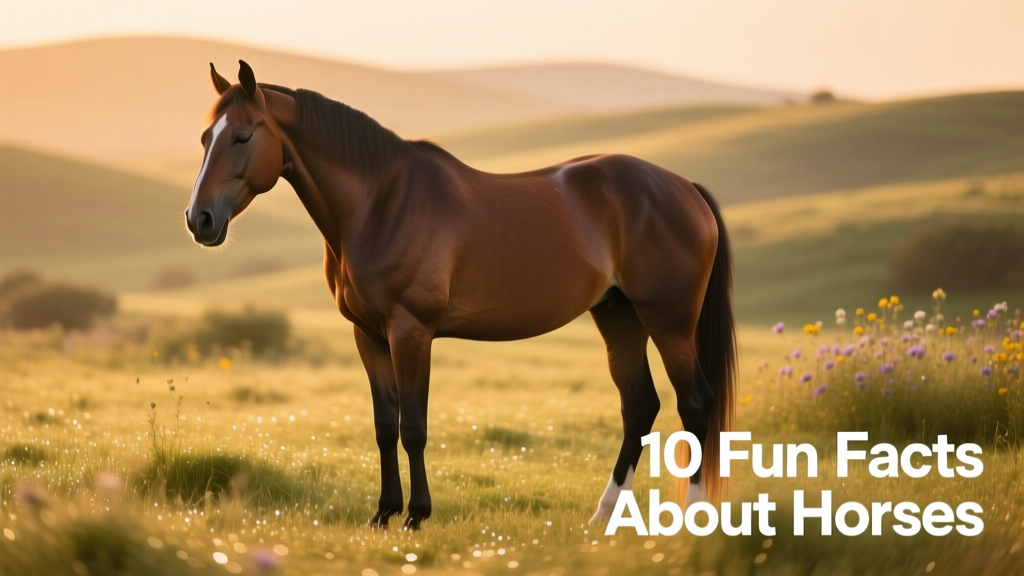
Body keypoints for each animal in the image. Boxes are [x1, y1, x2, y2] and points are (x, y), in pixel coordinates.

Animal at [186, 60, 736, 530]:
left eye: (242, 136)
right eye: (205, 138)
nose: (200, 220)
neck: (379, 204)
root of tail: (683, 187)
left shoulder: (411, 330)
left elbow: (414, 426)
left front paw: (415, 515)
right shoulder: (368, 335)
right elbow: (384, 426)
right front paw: (382, 513)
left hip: (669, 321)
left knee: (694, 403)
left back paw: (694, 516)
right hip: (618, 315)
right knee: (639, 408)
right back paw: (602, 516)